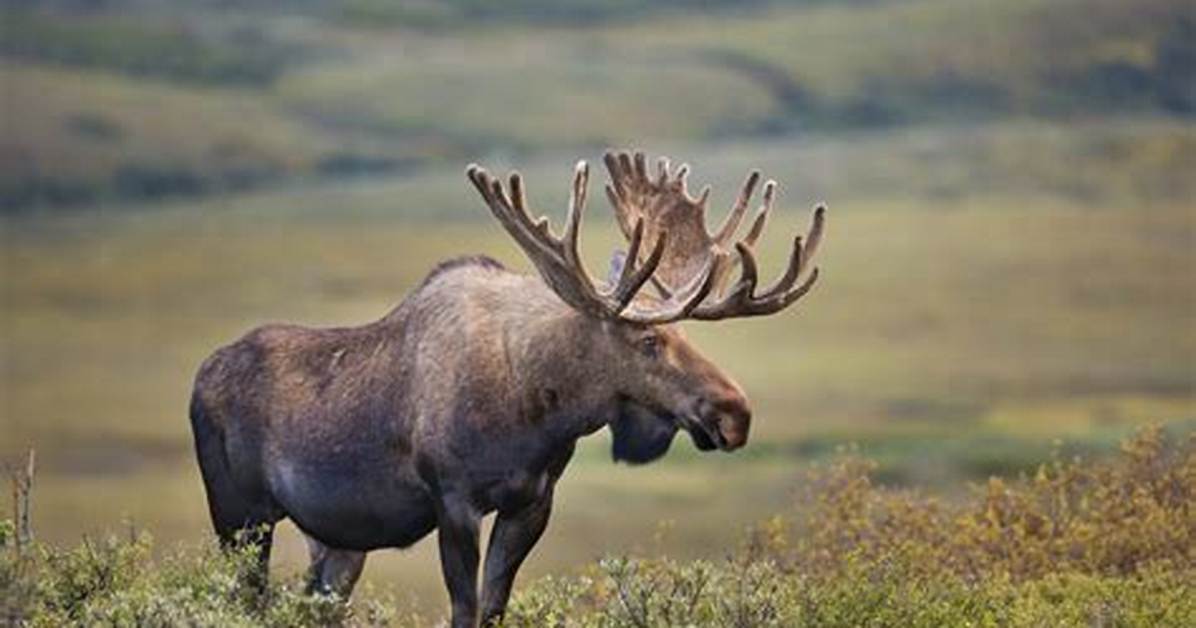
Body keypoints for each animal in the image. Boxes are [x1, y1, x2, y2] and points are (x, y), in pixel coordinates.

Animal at [188, 150, 826, 627]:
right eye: (648, 340)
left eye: (685, 332)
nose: (735, 412)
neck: (538, 410)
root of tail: (199, 377)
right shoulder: (453, 499)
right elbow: (464, 608)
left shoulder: (532, 501)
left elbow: (494, 606)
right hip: (239, 513)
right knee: (243, 598)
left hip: (336, 542)